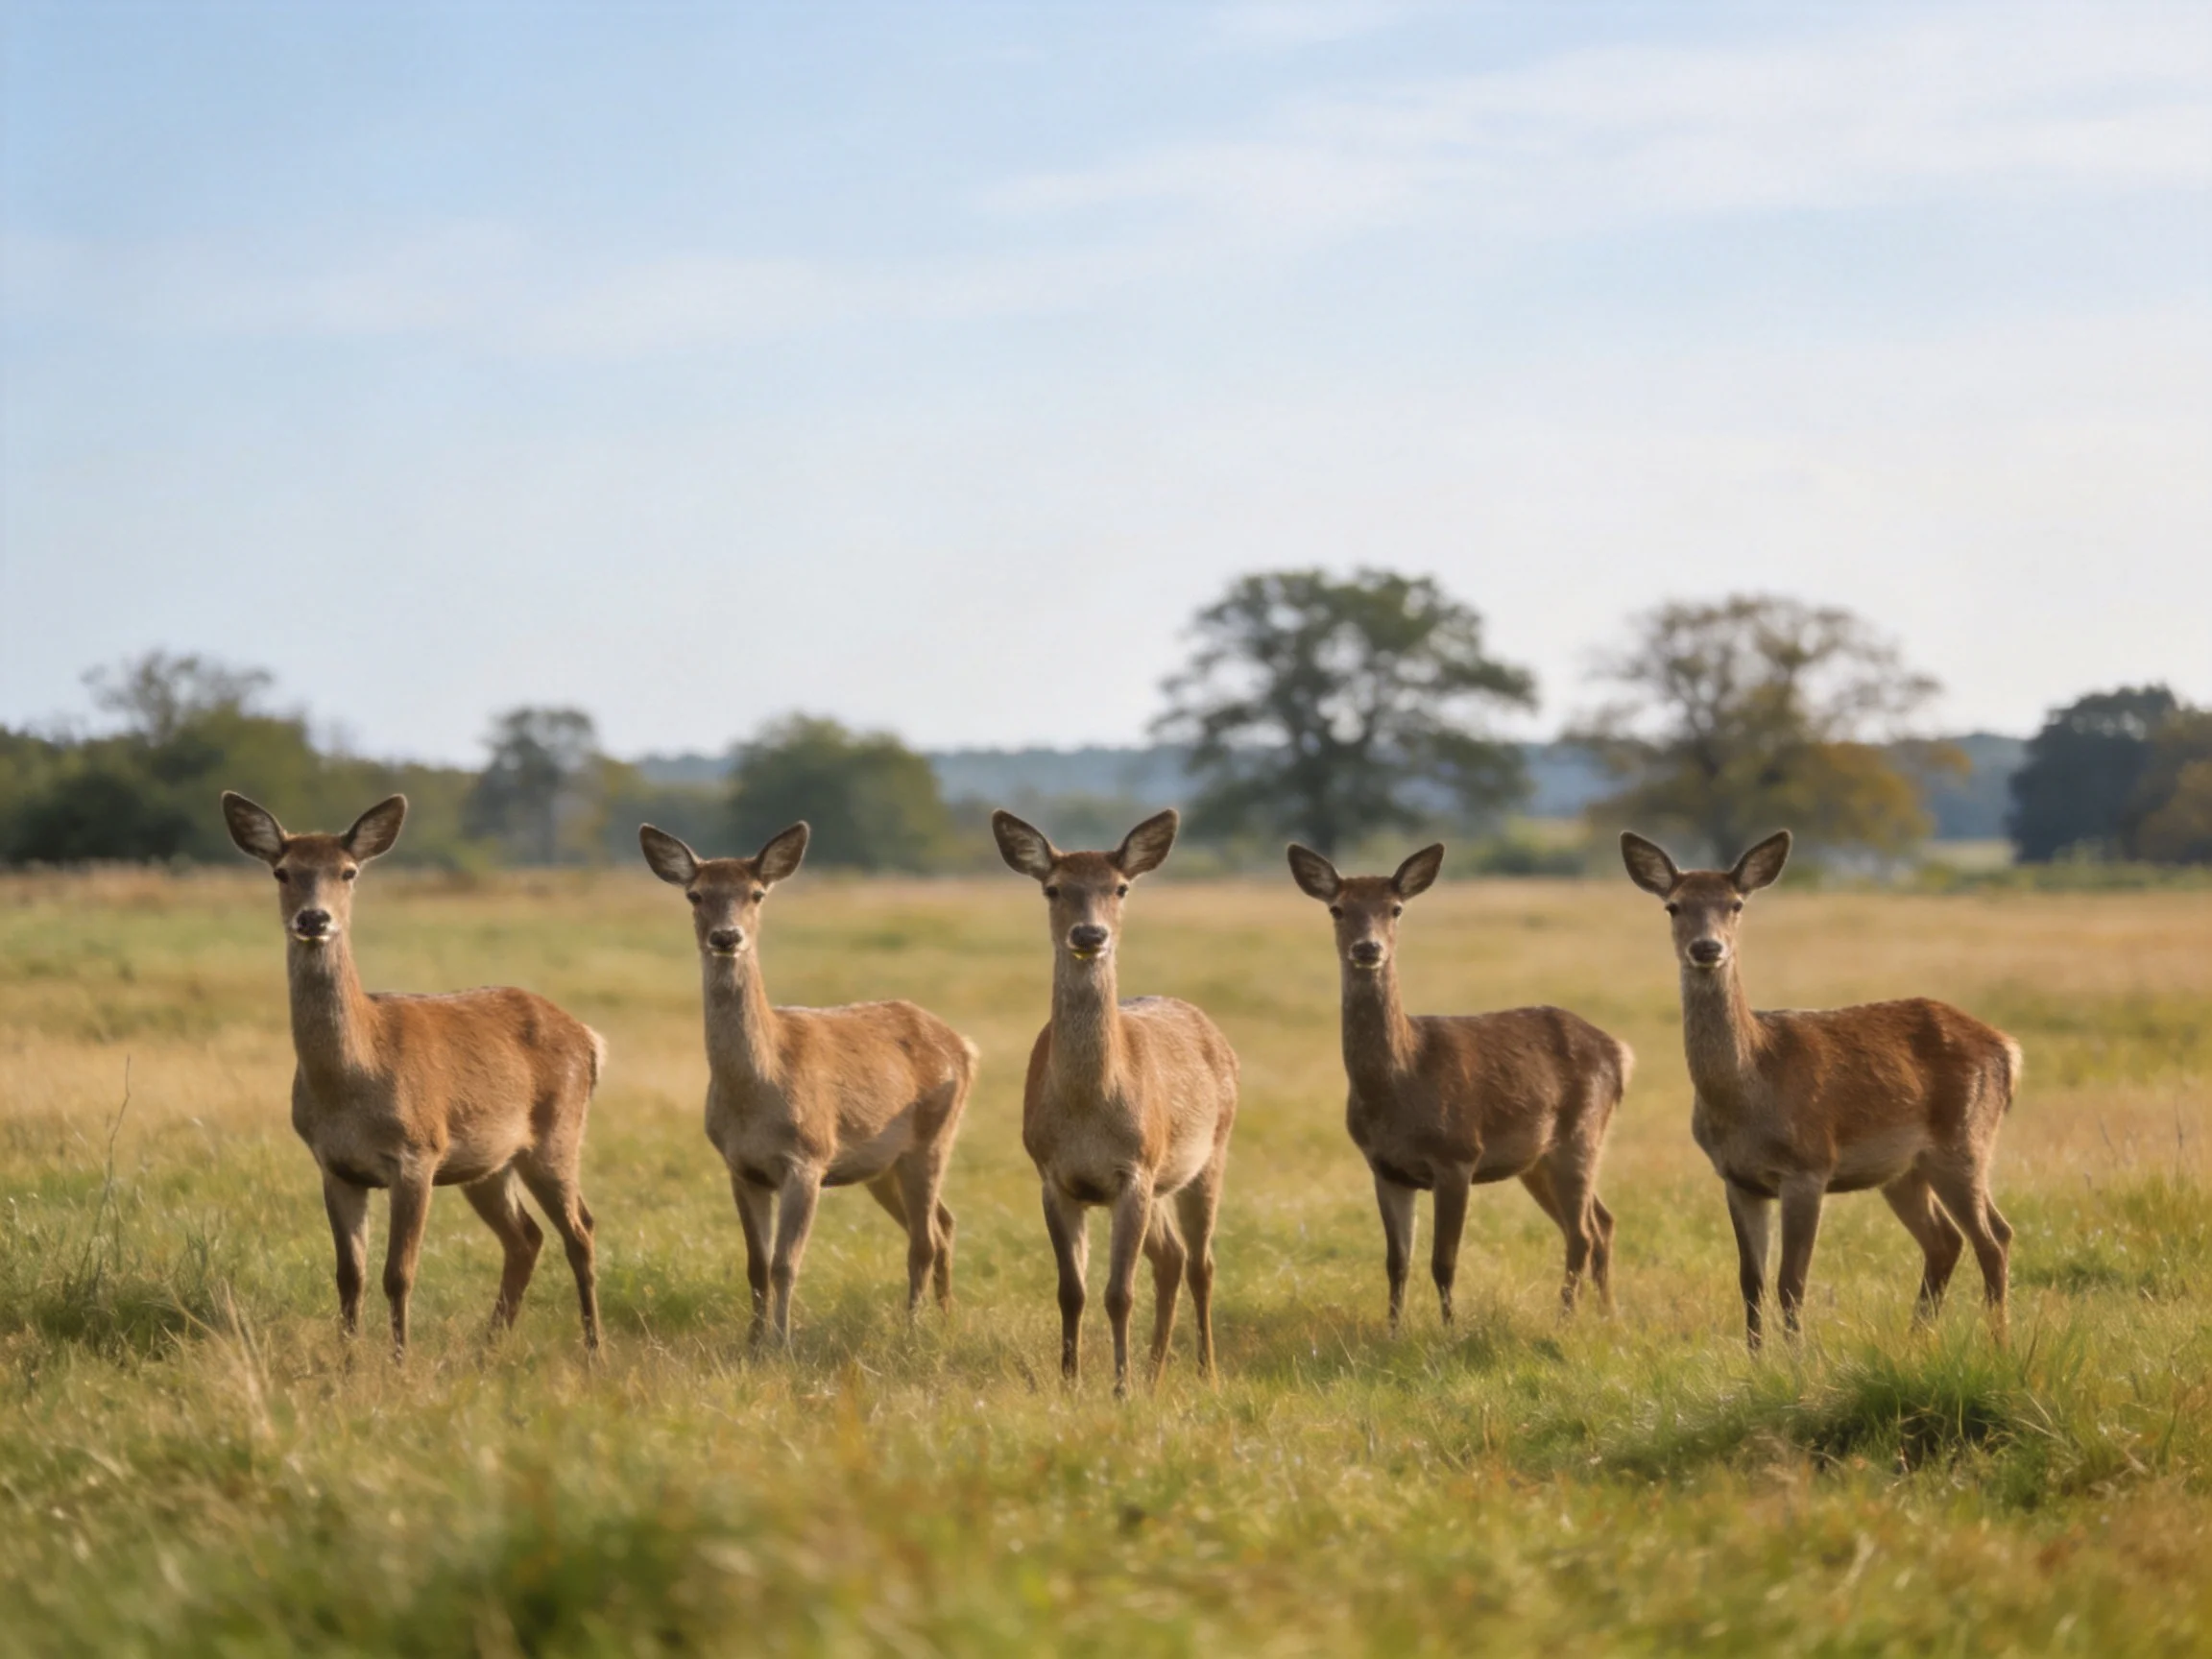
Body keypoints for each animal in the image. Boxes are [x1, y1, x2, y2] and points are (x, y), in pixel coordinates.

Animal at [220, 792, 604, 1357]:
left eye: (349, 871)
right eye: (282, 871)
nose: (314, 919)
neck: (354, 1076)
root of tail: (589, 1038)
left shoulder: (418, 1153)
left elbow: (398, 1274)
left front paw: (399, 1362)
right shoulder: (334, 1166)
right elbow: (349, 1276)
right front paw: (346, 1363)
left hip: (556, 1135)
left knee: (580, 1229)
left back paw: (593, 1349)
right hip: (488, 1162)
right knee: (526, 1236)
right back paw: (488, 1347)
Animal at [638, 821, 976, 1345]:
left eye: (756, 893)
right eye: (695, 894)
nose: (726, 936)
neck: (760, 1087)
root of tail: (962, 1045)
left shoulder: (808, 1159)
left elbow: (785, 1263)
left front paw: (782, 1343)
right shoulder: (740, 1167)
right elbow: (756, 1264)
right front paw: (753, 1342)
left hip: (934, 1136)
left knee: (924, 1239)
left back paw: (913, 1329)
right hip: (883, 1166)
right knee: (944, 1224)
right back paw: (944, 1317)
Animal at [992, 808, 1239, 1397]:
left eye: (1120, 887)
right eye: (1053, 888)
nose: (1090, 933)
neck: (1087, 1112)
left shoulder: (1135, 1170)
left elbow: (1118, 1292)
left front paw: (1119, 1388)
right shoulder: (1054, 1176)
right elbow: (1072, 1290)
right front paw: (1071, 1382)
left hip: (1209, 1155)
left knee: (1201, 1263)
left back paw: (1205, 1370)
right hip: (1163, 1182)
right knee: (1171, 1257)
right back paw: (1155, 1370)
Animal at [1287, 842, 1631, 1330]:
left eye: (1396, 909)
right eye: (1337, 908)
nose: (1368, 948)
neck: (1402, 1080)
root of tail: (1620, 1054)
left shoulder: (1457, 1155)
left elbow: (1443, 1261)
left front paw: (1450, 1330)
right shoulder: (1384, 1167)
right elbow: (1397, 1262)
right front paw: (1393, 1332)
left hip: (1582, 1133)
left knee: (1582, 1232)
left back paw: (1565, 1321)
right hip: (1537, 1159)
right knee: (1601, 1222)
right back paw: (1606, 1315)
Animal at [1620, 829, 2022, 1350]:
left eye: (1735, 904)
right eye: (1673, 906)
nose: (1707, 948)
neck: (1750, 1089)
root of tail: (2008, 1049)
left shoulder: (1809, 1166)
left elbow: (1792, 1280)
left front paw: (1797, 1359)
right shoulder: (1737, 1178)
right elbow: (1750, 1279)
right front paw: (1755, 1358)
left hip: (1965, 1139)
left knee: (1993, 1236)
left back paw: (1998, 1343)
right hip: (1904, 1170)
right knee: (1946, 1239)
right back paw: (1916, 1339)